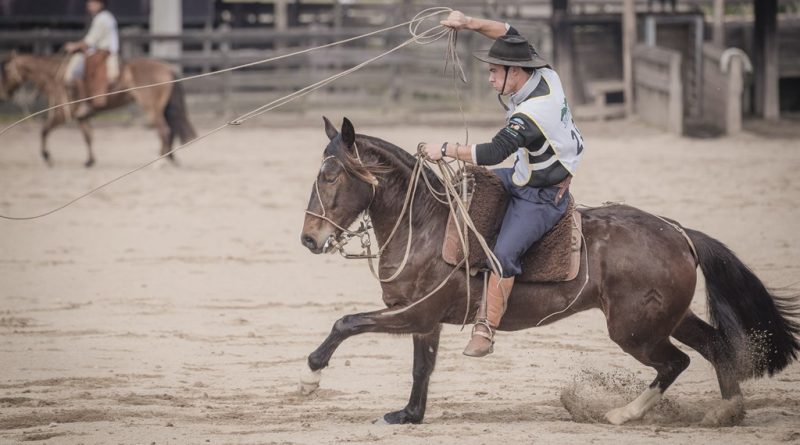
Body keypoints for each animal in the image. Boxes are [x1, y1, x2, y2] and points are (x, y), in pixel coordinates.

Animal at [0, 52, 196, 167]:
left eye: (6, 71)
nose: (5, 94)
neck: (55, 77)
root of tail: (168, 68)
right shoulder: (82, 115)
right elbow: (88, 136)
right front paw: (89, 161)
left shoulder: (63, 113)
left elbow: (44, 130)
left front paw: (47, 157)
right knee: (170, 130)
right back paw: (170, 158)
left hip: (151, 108)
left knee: (164, 130)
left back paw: (160, 161)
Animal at [299, 117, 800, 426]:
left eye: (330, 176)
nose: (309, 239)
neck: (427, 225)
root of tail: (678, 233)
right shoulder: (425, 322)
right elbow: (422, 369)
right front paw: (408, 415)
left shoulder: (415, 314)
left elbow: (345, 323)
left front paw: (310, 377)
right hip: (667, 318)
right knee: (714, 346)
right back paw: (727, 411)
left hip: (635, 331)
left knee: (676, 362)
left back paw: (624, 414)